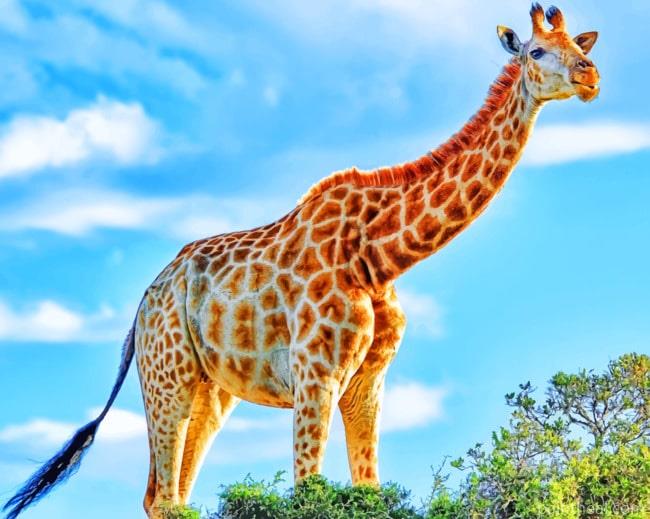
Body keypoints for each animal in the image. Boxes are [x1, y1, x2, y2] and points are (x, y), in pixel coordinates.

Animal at [4, 4, 600, 519]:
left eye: (578, 43)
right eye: (538, 51)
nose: (591, 75)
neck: (381, 255)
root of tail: (142, 304)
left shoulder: (367, 383)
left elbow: (368, 490)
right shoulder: (316, 376)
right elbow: (308, 490)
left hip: (210, 391)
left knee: (167, 495)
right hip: (165, 377)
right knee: (165, 497)